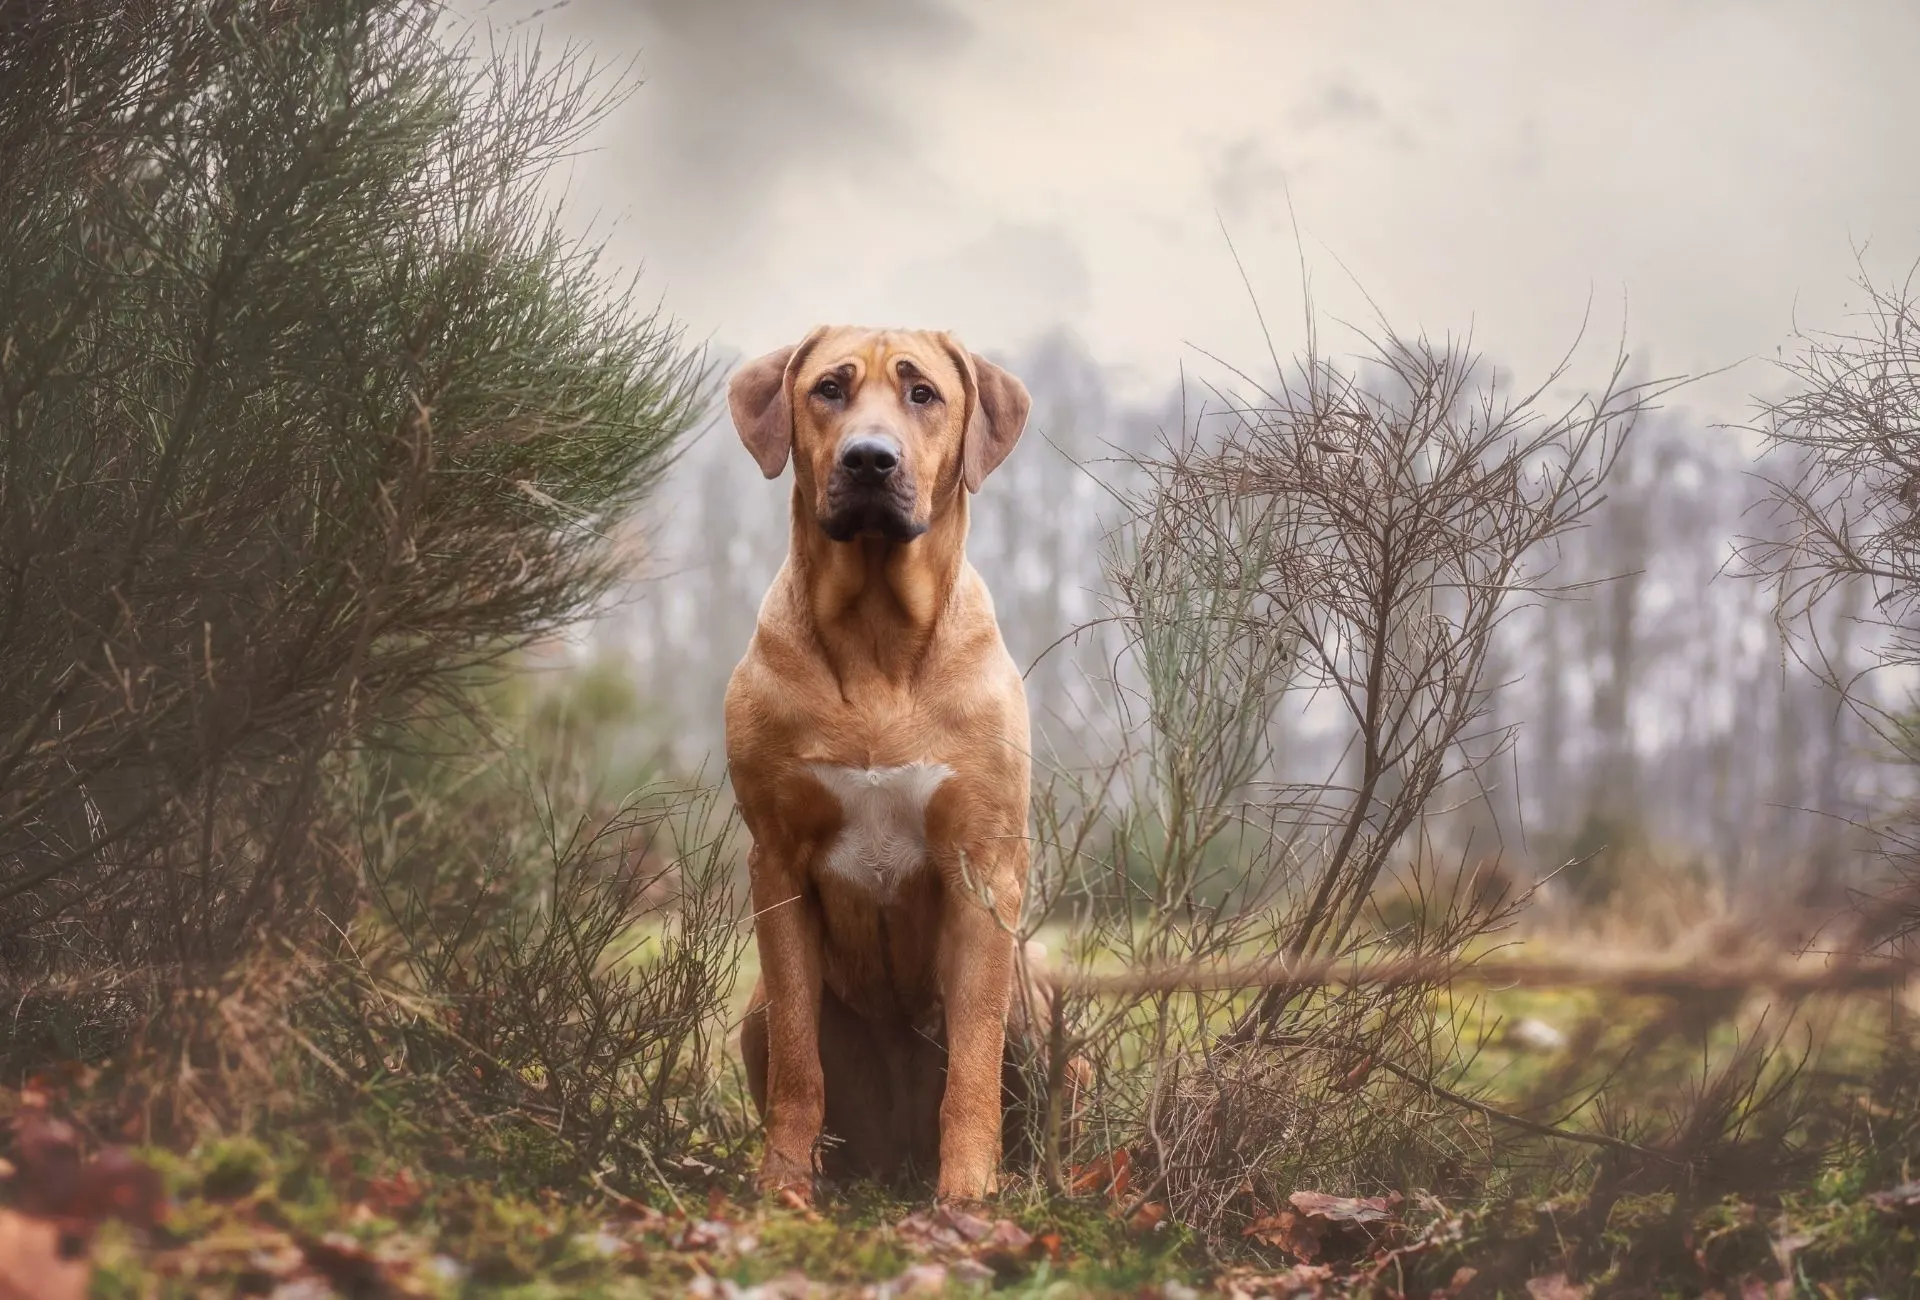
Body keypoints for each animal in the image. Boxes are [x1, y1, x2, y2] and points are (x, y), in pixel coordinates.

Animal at [721, 326, 1052, 1205]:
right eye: (829, 389)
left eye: (922, 393)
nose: (870, 460)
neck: (876, 637)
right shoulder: (777, 865)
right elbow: (799, 1064)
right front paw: (782, 1185)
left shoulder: (984, 869)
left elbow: (971, 1064)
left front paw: (968, 1193)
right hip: (755, 1012)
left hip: (1039, 992)